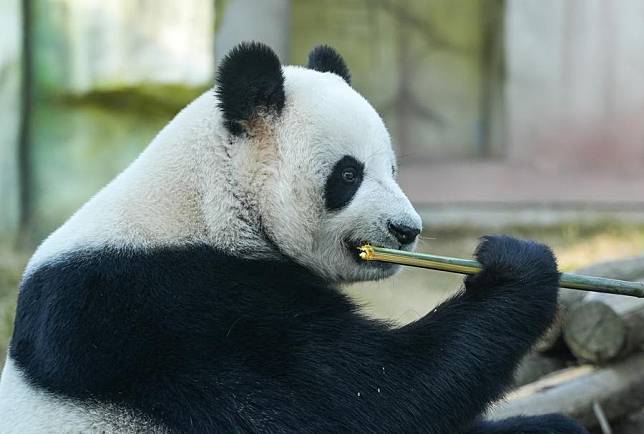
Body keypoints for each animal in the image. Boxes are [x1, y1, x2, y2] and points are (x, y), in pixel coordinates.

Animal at [0, 41, 588, 434]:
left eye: (393, 169)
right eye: (348, 174)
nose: (407, 230)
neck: (207, 204)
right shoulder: (174, 308)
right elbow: (368, 397)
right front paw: (516, 266)